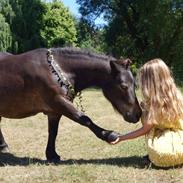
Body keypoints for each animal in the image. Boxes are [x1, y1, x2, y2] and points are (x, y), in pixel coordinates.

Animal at [0, 48, 142, 162]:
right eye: (124, 86)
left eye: (134, 84)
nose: (138, 114)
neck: (56, 71)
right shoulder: (59, 102)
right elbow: (84, 119)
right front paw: (109, 135)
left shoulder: (54, 111)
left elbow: (53, 131)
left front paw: (52, 155)